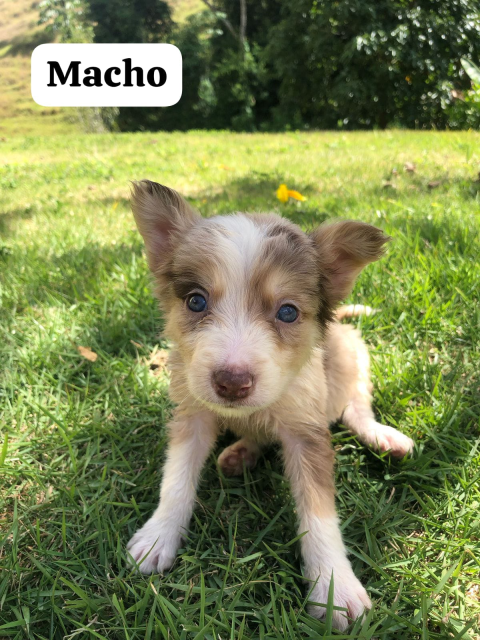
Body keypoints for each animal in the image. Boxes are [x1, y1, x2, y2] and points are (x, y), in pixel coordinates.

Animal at [126, 180, 412, 632]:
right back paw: (240, 453)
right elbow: (176, 479)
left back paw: (381, 435)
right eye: (195, 302)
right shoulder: (192, 412)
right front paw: (159, 535)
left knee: (355, 406)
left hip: (350, 350)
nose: (231, 383)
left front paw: (334, 586)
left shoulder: (306, 430)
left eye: (288, 311)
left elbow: (318, 514)